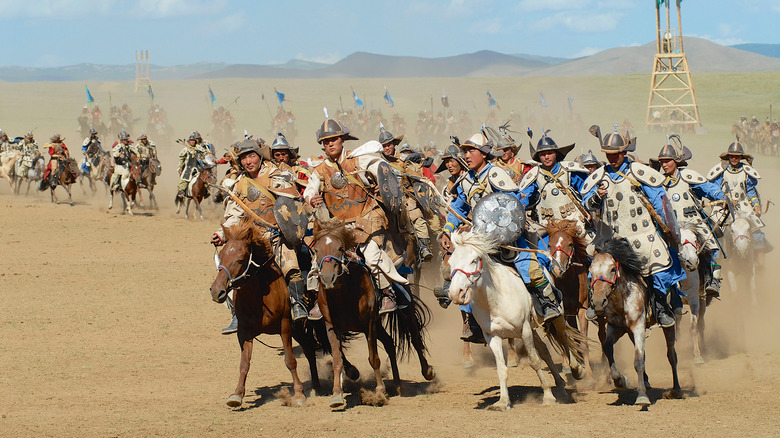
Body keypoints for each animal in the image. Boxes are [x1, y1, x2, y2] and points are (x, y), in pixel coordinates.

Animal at [210, 219, 336, 408]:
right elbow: (244, 364)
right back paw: (315, 386)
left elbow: (290, 361)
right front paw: (237, 395)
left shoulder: (285, 327)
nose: (217, 291)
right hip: (299, 329)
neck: (259, 297)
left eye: (240, 259)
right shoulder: (244, 333)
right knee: (309, 349)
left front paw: (299, 394)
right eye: (223, 255)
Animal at [310, 219, 436, 410]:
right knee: (390, 343)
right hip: (377, 323)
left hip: (404, 311)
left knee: (414, 338)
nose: (327, 277)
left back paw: (426, 371)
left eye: (340, 248)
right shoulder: (332, 327)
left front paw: (379, 391)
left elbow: (373, 358)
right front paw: (336, 395)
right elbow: (338, 359)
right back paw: (397, 384)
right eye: (316, 250)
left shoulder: (368, 324)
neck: (344, 294)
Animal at [444, 229, 584, 410]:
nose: (455, 293)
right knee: (545, 350)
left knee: (563, 338)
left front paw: (547, 395)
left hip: (557, 318)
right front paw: (503, 401)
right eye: (451, 261)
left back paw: (575, 369)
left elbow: (534, 362)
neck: (495, 299)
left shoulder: (524, 331)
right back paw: (560, 387)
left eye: (473, 260)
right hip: (532, 328)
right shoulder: (493, 337)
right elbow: (501, 369)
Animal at [544, 219, 596, 380]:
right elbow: (567, 338)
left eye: (570, 244)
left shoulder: (583, 310)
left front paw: (589, 374)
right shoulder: (565, 312)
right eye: (550, 244)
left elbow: (583, 343)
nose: (557, 269)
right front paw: (573, 367)